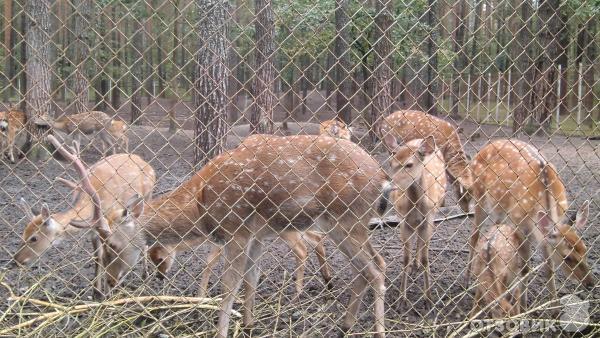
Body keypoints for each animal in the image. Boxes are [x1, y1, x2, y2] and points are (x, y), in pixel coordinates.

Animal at [14, 139, 156, 298]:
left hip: (148, 196)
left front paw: (106, 293)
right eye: (23, 233)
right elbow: (98, 257)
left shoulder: (107, 224)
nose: (16, 260)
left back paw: (145, 274)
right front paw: (96, 292)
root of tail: (145, 162)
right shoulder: (93, 230)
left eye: (34, 238)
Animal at [70, 135, 392, 338]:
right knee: (366, 267)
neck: (201, 206)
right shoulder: (257, 233)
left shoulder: (236, 229)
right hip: (344, 223)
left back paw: (377, 331)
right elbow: (251, 278)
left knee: (376, 268)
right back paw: (345, 325)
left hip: (347, 218)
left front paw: (222, 331)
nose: (109, 283)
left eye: (113, 245)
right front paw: (249, 325)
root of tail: (383, 178)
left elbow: (229, 286)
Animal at [382, 134, 448, 306]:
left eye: (409, 164)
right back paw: (414, 264)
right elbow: (405, 259)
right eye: (390, 162)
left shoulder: (428, 219)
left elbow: (426, 258)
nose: (389, 186)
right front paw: (401, 299)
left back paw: (417, 264)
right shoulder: (403, 222)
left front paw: (428, 298)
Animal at [468, 140, 596, 306]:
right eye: (567, 257)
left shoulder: (543, 234)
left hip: (500, 208)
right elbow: (525, 268)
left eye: (585, 250)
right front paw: (523, 305)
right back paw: (468, 281)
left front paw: (554, 307)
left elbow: (549, 269)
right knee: (474, 236)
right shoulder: (519, 225)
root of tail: (484, 148)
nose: (590, 284)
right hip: (479, 195)